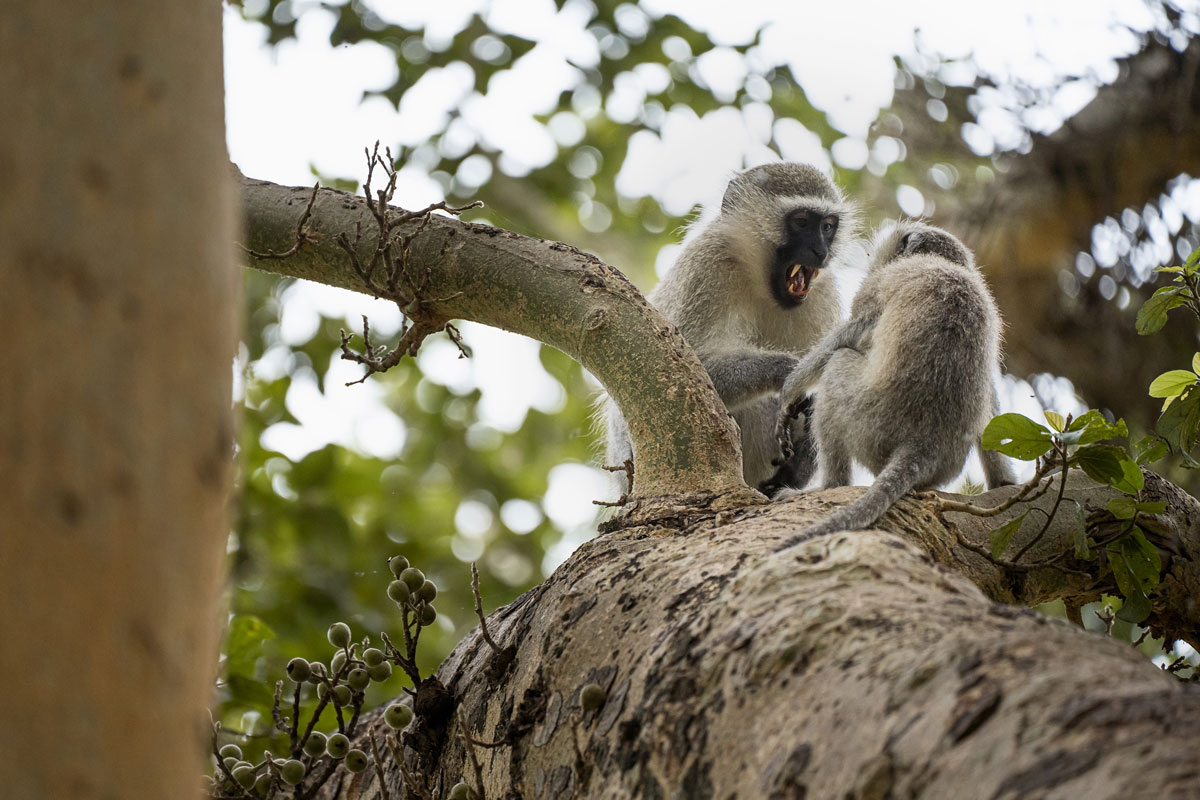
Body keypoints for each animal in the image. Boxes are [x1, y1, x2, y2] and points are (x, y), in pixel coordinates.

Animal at [603, 162, 860, 494]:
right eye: (801, 222)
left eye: (828, 226)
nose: (820, 251)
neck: (760, 282)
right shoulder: (706, 266)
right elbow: (673, 375)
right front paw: (788, 371)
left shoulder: (821, 293)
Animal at [772, 220, 1015, 546]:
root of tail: (923, 443)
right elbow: (990, 396)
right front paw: (1004, 482)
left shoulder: (877, 286)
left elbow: (851, 332)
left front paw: (789, 392)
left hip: (870, 424)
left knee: (837, 364)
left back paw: (828, 486)